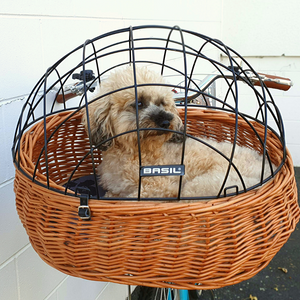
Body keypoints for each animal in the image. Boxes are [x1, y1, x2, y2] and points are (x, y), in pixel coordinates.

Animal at [82, 67, 274, 200]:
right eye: (138, 103)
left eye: (162, 103)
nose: (167, 121)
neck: (135, 152)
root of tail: (267, 170)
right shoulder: (115, 189)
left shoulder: (158, 187)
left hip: (200, 186)